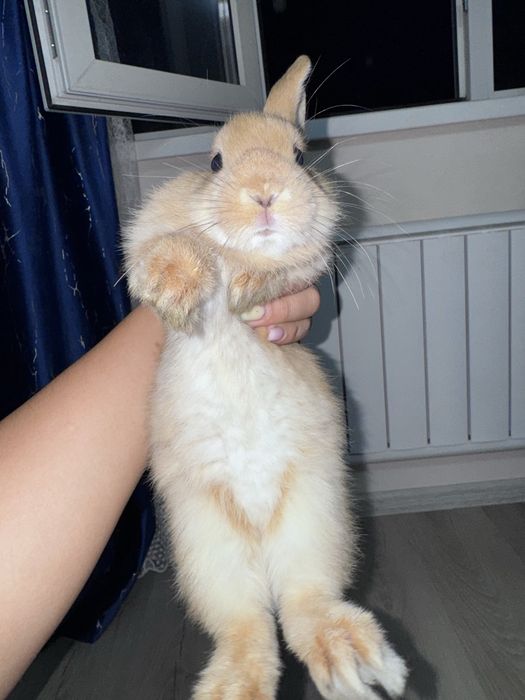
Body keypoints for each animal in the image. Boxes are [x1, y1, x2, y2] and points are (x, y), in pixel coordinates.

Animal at [124, 56, 407, 700]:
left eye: (300, 156)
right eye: (215, 162)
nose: (264, 195)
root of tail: (258, 531)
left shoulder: (310, 256)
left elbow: (282, 266)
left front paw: (250, 286)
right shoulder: (153, 233)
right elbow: (177, 244)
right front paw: (179, 288)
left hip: (315, 518)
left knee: (303, 602)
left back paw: (345, 655)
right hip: (208, 549)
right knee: (248, 624)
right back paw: (236, 686)